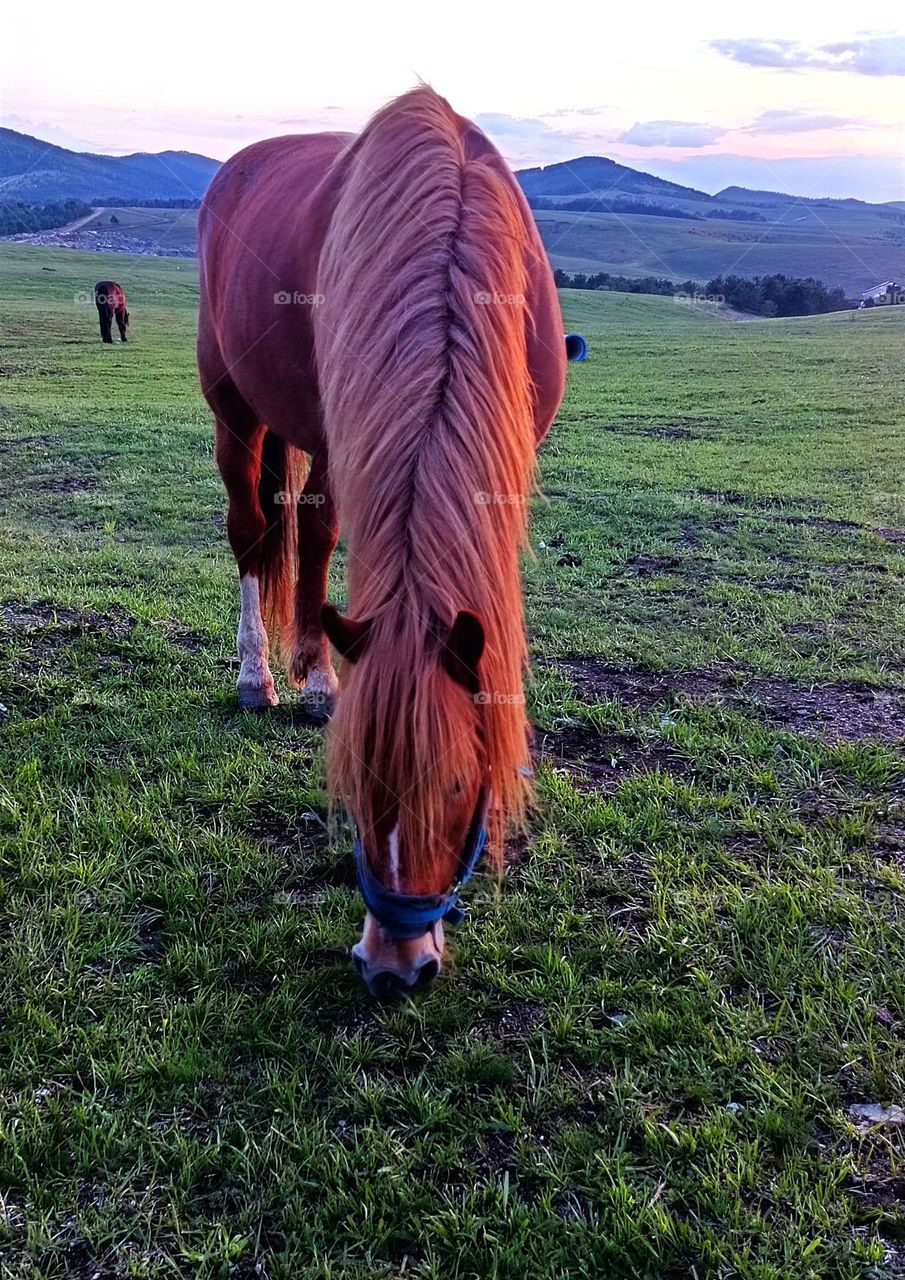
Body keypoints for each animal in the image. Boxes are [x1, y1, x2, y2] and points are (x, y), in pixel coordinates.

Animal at [197, 86, 566, 996]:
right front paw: (310, 678)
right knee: (256, 532)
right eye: (353, 788)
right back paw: (267, 675)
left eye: (462, 783)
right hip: (235, 406)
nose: (394, 967)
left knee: (303, 529)